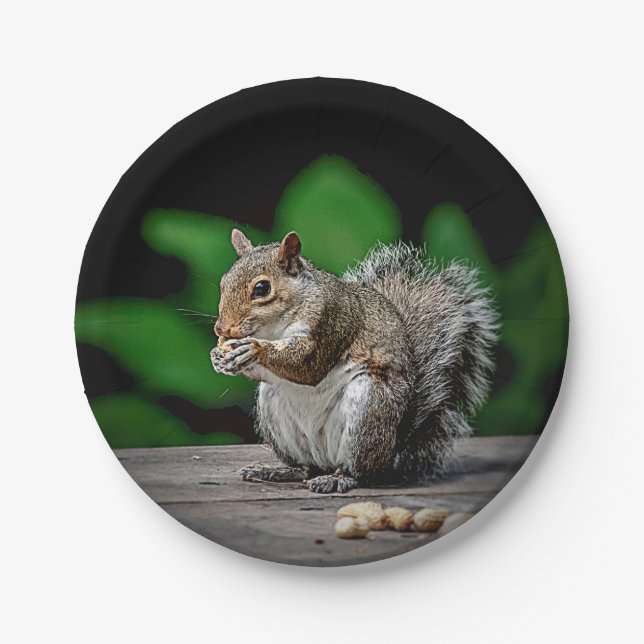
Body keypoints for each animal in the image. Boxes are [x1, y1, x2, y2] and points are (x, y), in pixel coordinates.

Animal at [211, 229, 499, 494]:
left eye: (262, 288)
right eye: (223, 282)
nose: (221, 329)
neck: (273, 328)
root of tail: (392, 450)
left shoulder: (331, 321)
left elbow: (306, 366)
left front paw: (252, 349)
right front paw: (219, 357)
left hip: (368, 409)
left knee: (358, 472)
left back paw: (338, 479)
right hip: (274, 407)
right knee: (305, 467)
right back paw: (278, 471)